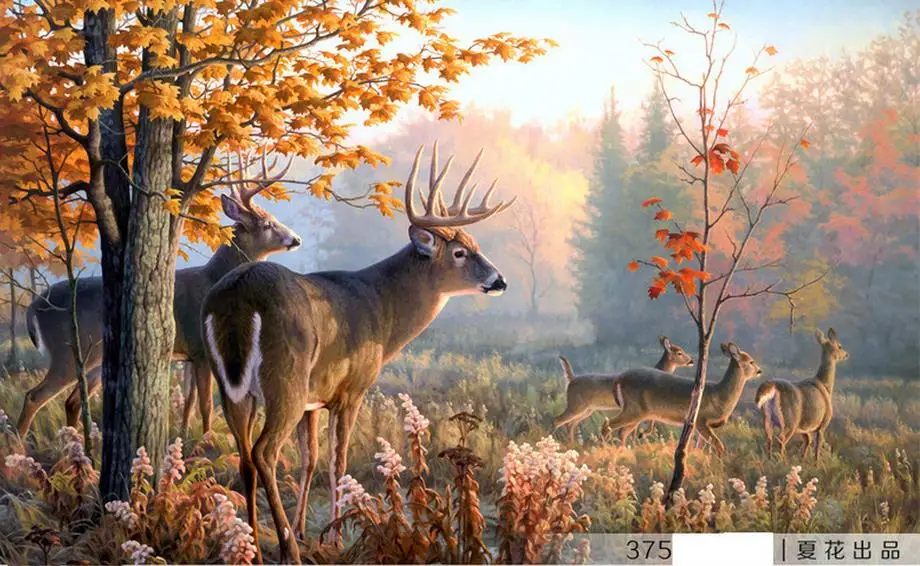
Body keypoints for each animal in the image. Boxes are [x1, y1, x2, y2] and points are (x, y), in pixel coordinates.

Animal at [18, 158, 301, 438]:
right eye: (267, 224)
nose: (296, 238)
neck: (214, 278)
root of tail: (33, 307)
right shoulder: (201, 348)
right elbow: (206, 404)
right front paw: (207, 439)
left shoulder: (188, 354)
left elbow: (188, 402)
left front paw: (184, 437)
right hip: (66, 351)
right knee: (34, 396)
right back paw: (20, 444)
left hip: (94, 357)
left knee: (72, 401)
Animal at [201, 142, 516, 563]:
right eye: (461, 253)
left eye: (476, 246)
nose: (500, 280)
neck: (381, 311)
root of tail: (237, 296)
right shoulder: (351, 389)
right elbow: (339, 462)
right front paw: (333, 538)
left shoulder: (315, 399)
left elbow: (310, 458)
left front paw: (305, 531)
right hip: (285, 376)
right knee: (264, 452)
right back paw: (286, 550)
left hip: (233, 386)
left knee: (246, 457)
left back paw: (252, 543)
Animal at [552, 336, 694, 443]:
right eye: (679, 352)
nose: (691, 361)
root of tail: (571, 379)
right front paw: (637, 440)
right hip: (576, 405)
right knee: (558, 420)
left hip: (586, 410)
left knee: (570, 424)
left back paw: (573, 444)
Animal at [600, 342, 762, 457]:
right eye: (751, 362)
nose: (760, 371)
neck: (719, 396)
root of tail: (619, 379)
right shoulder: (700, 420)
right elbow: (719, 445)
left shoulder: (700, 426)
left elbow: (699, 448)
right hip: (634, 409)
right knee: (607, 425)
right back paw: (605, 451)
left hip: (638, 413)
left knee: (622, 432)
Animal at [755, 328, 848, 460]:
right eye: (840, 346)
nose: (846, 354)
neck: (826, 385)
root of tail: (772, 386)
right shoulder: (822, 424)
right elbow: (817, 448)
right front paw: (815, 463)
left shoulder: (804, 428)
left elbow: (807, 441)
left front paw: (802, 459)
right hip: (790, 420)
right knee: (781, 439)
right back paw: (781, 461)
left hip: (767, 418)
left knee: (769, 438)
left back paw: (770, 460)